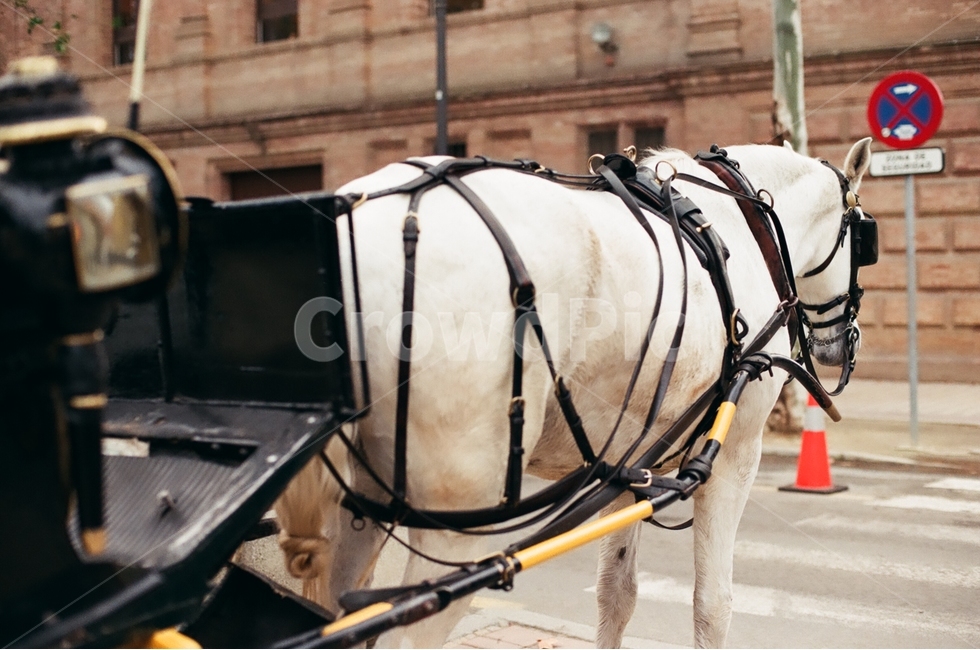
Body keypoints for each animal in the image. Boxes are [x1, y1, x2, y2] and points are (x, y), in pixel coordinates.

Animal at [273, 138, 874, 648]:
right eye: (867, 240)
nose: (840, 348)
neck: (739, 224)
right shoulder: (736, 456)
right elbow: (713, 605)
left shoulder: (630, 462)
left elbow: (617, 594)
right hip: (457, 520)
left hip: (363, 502)